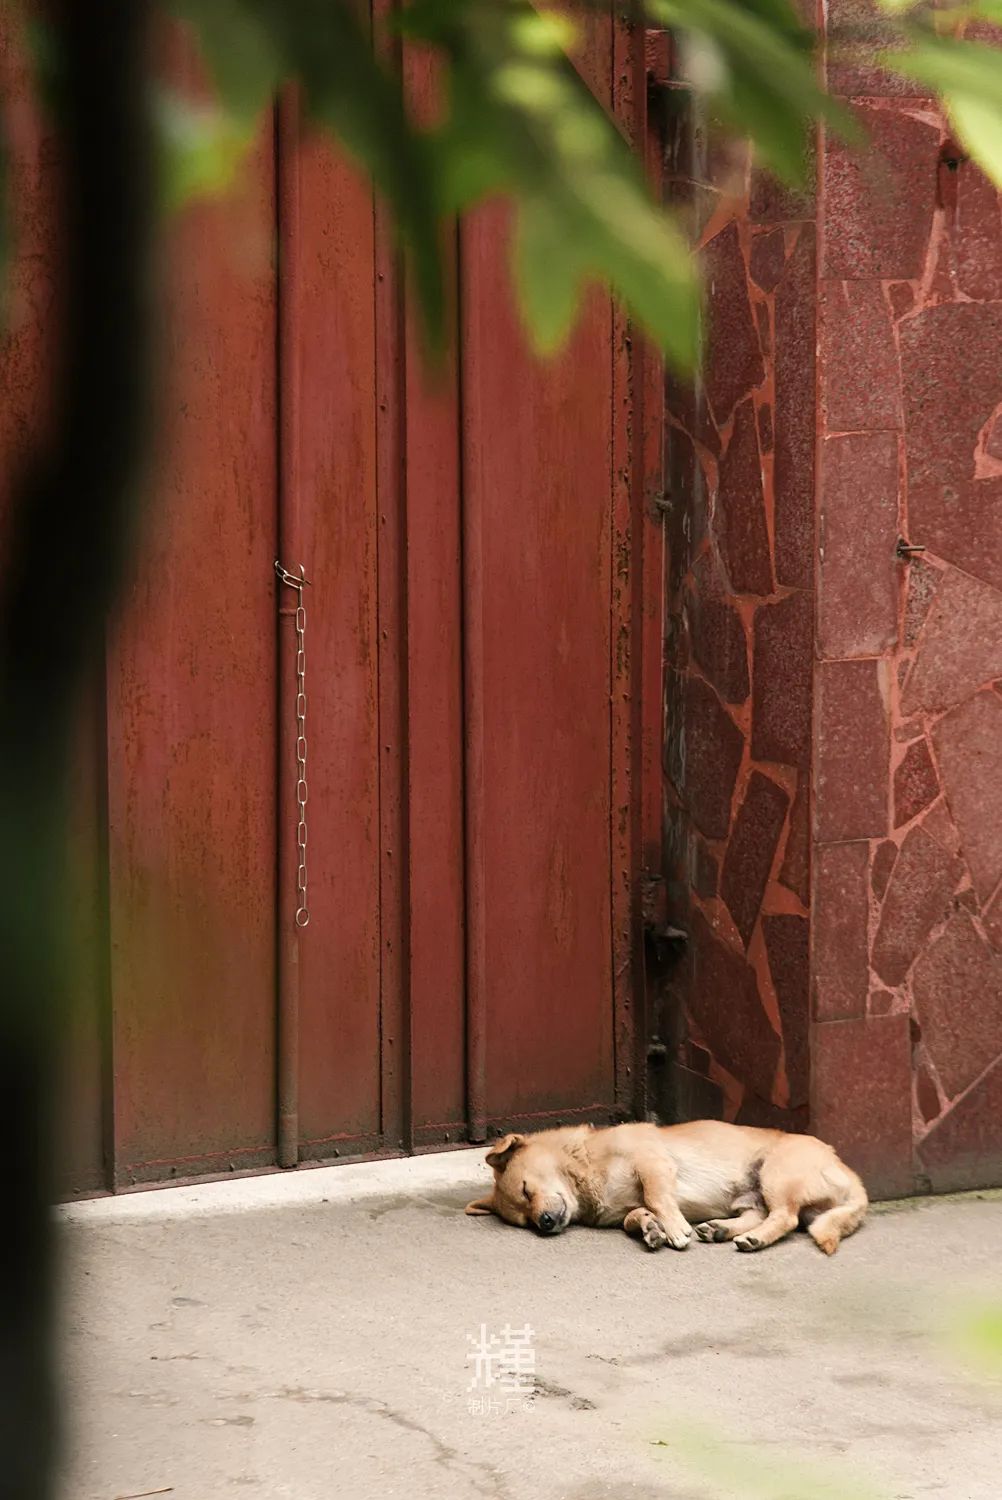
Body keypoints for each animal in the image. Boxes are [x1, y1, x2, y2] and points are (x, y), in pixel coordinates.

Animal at [465, 1128, 864, 1254]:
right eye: (526, 1221)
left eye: (526, 1189)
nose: (545, 1223)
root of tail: (853, 1178)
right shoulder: (626, 1205)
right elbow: (635, 1214)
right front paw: (649, 1226)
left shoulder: (652, 1163)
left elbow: (657, 1196)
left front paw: (673, 1228)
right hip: (753, 1196)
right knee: (762, 1215)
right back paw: (723, 1230)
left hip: (775, 1175)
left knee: (786, 1217)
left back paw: (753, 1238)